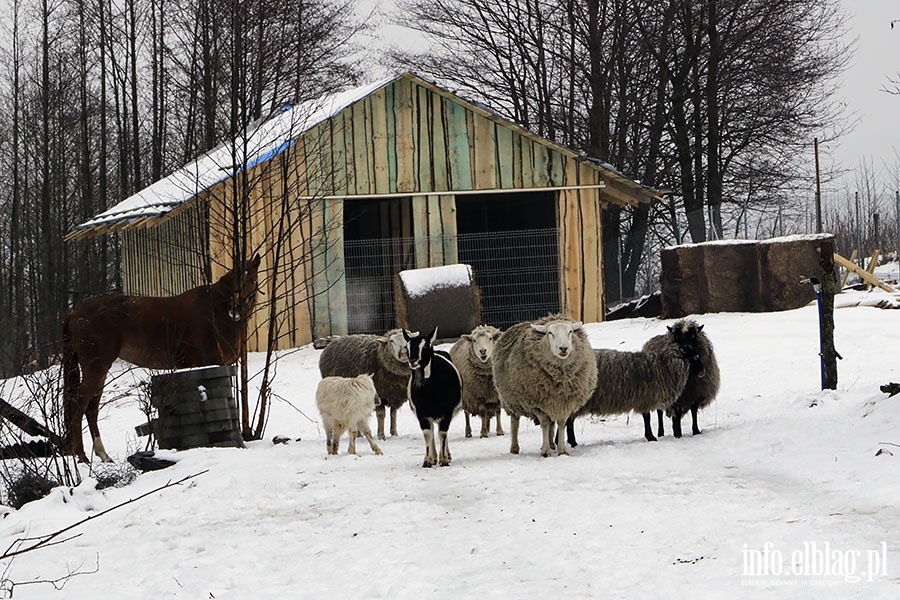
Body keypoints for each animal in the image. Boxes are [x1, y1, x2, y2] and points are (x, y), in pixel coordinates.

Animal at [62, 255, 260, 462]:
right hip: (96, 367)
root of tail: (73, 313)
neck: (216, 311)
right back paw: (81, 456)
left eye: (252, 279)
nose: (236, 310)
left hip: (99, 370)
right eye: (235, 279)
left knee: (92, 408)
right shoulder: (212, 363)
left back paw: (103, 455)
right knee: (79, 404)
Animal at [408, 326, 464, 466]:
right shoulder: (422, 413)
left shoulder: (447, 411)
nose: (413, 361)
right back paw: (434, 457)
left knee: (441, 431)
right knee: (433, 430)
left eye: (425, 346)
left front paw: (443, 459)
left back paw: (445, 455)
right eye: (407, 347)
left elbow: (443, 433)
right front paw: (428, 460)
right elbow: (428, 434)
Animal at [492, 314, 596, 454]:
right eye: (550, 333)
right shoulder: (537, 403)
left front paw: (561, 450)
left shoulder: (564, 402)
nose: (563, 348)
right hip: (511, 400)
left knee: (552, 424)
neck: (560, 379)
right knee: (515, 422)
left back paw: (552, 444)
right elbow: (545, 423)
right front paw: (546, 451)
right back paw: (515, 448)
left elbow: (561, 424)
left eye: (570, 332)